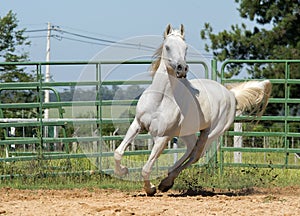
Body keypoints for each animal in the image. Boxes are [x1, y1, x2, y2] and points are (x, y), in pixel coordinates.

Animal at [113, 24, 272, 196]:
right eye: (167, 47)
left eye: (186, 48)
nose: (182, 68)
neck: (160, 99)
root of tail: (231, 94)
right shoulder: (138, 124)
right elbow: (118, 152)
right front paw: (123, 170)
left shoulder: (163, 136)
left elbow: (146, 168)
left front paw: (151, 189)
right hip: (187, 132)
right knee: (190, 149)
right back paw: (169, 174)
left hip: (211, 133)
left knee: (196, 155)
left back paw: (167, 182)